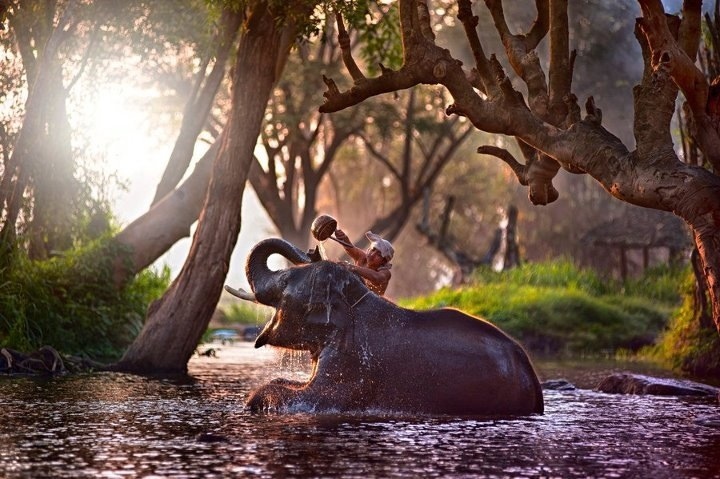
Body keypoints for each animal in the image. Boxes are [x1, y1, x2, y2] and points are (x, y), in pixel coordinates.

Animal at [231, 238, 544, 416]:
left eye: (285, 281)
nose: (314, 249)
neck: (352, 297)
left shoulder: (353, 361)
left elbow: (316, 396)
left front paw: (253, 401)